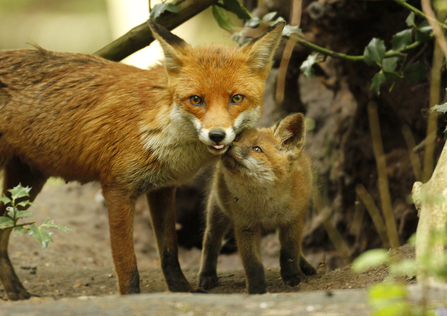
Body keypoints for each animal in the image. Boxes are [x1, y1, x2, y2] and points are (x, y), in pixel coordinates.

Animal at [0, 21, 286, 300]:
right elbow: (127, 263)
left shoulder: (162, 188)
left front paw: (182, 290)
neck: (156, 130)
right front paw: (131, 297)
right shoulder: (117, 189)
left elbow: (170, 252)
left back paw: (16, 292)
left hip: (25, 185)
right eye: (196, 99)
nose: (217, 135)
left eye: (236, 98)